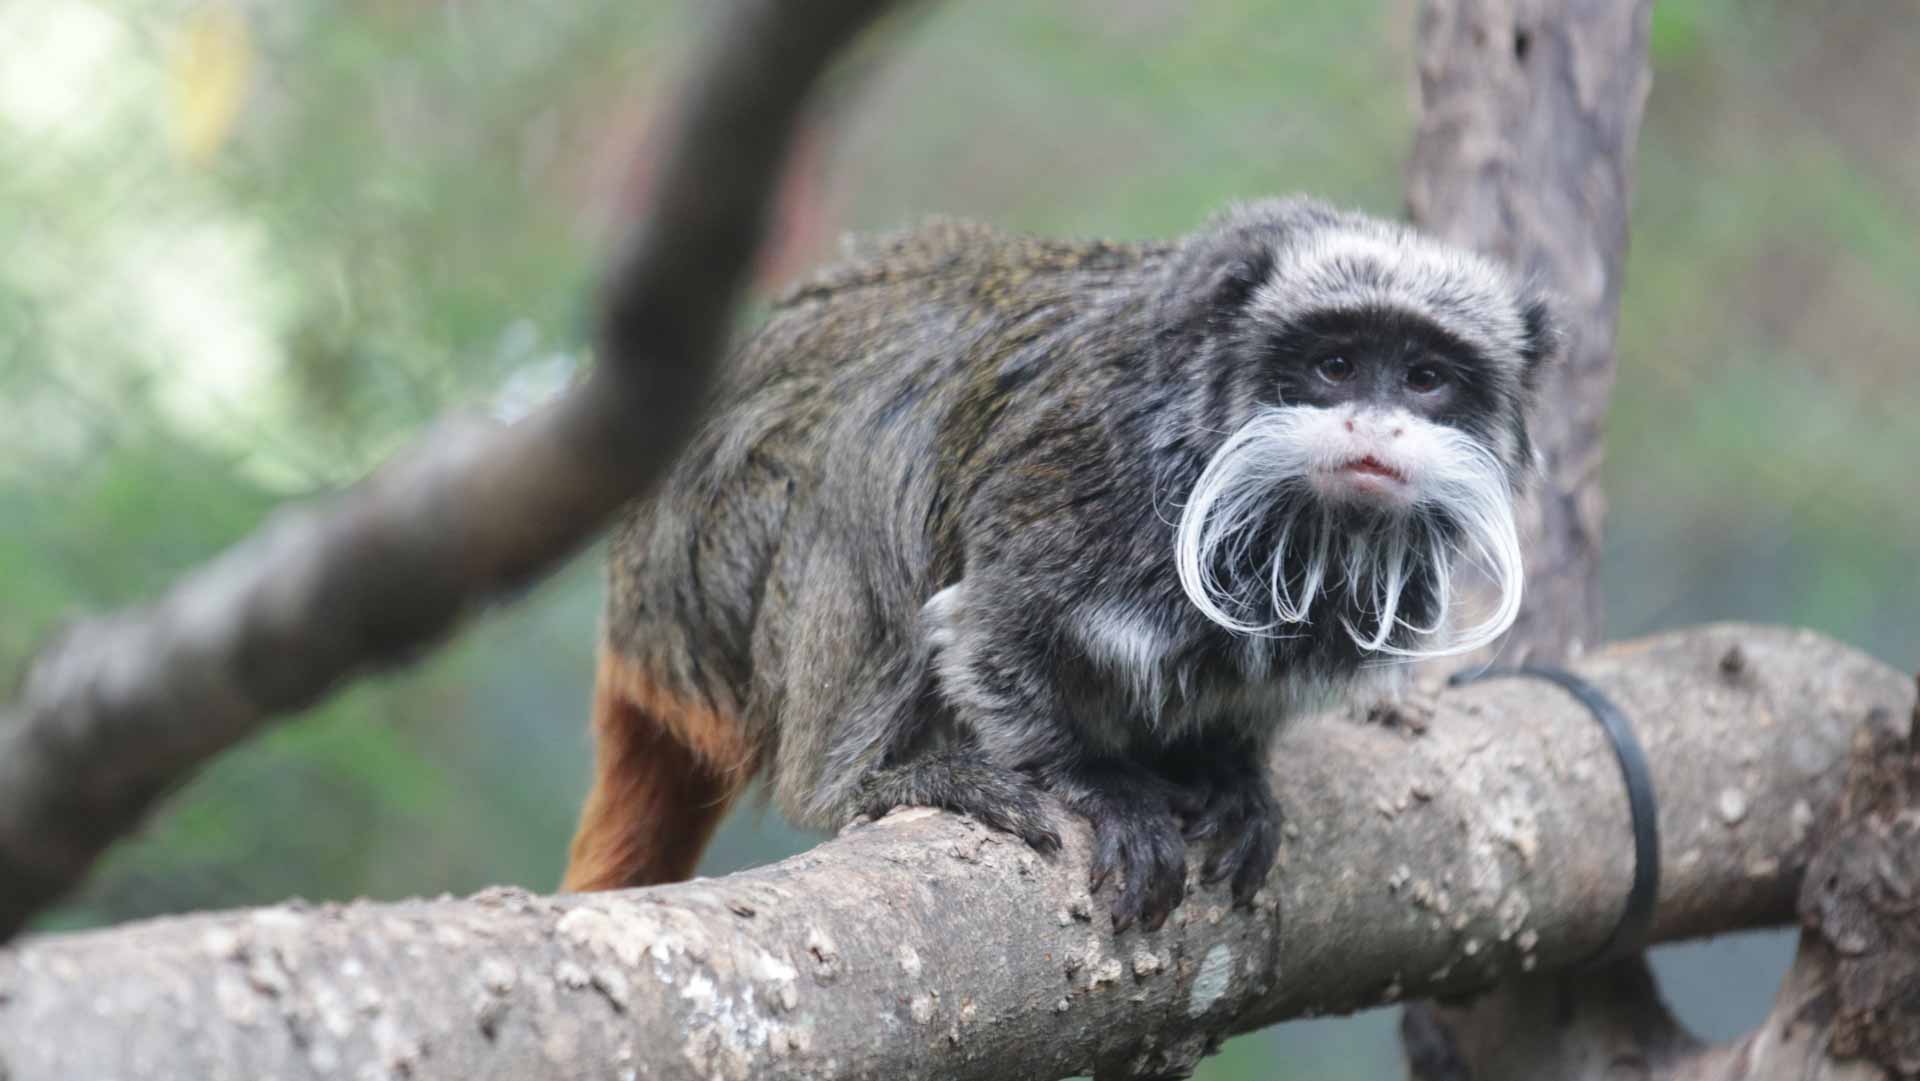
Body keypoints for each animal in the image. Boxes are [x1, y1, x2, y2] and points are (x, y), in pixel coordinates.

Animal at [561, 196, 1557, 932]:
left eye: (1426, 378)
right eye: (1335, 364)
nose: (1376, 427)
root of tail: (633, 618)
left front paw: (1231, 772)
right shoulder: (1086, 479)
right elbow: (987, 634)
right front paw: (1101, 784)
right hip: (711, 575)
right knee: (869, 457)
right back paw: (867, 779)